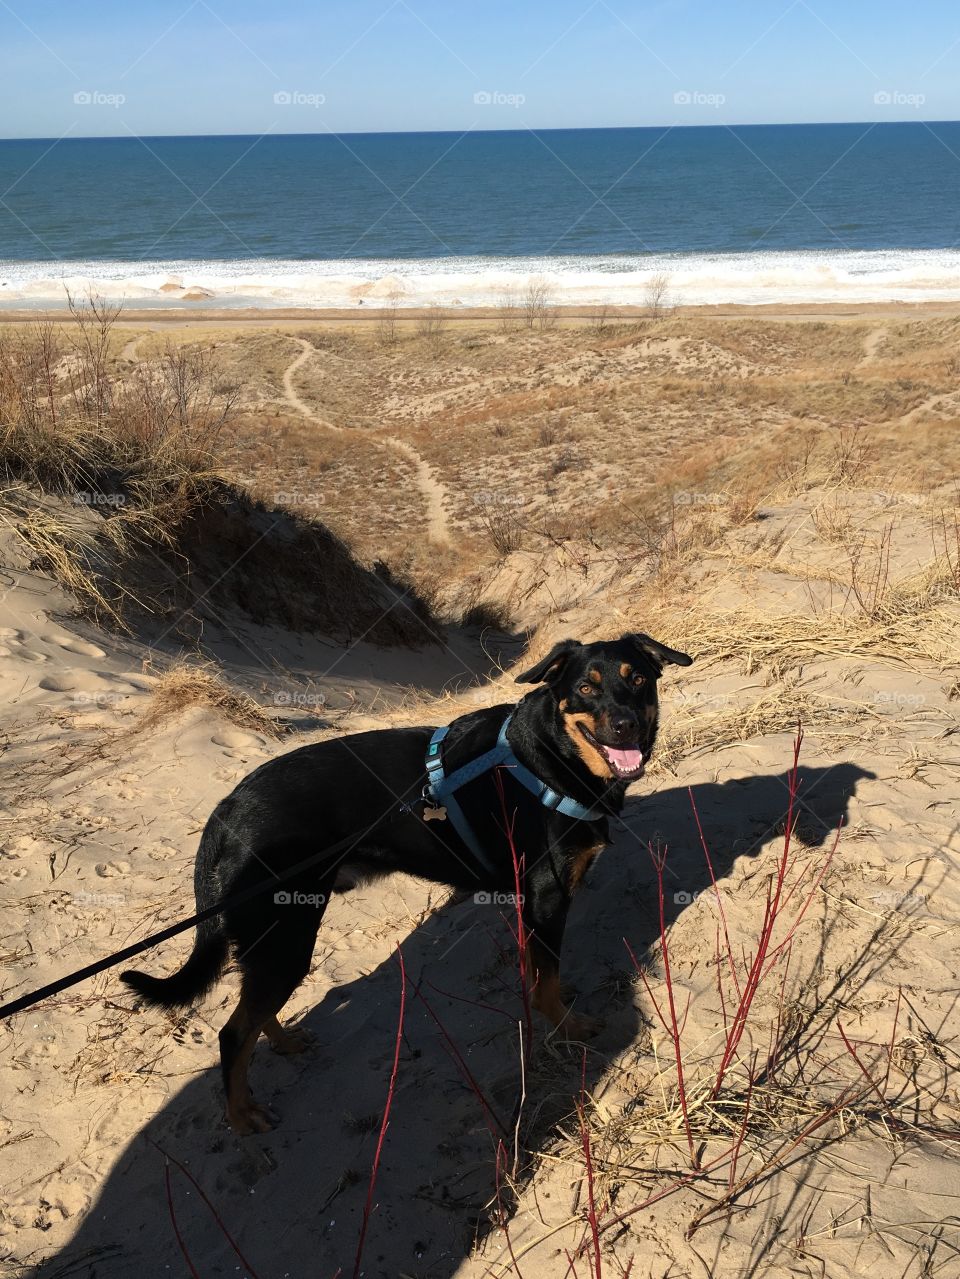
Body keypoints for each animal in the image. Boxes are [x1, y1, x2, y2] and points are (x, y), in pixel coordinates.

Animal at [122, 629, 690, 1130]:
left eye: (638, 679)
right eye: (587, 688)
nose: (625, 725)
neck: (550, 757)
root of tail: (224, 812)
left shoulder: (536, 905)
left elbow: (540, 967)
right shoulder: (547, 896)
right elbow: (544, 981)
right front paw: (568, 1026)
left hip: (278, 940)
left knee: (253, 1010)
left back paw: (283, 1043)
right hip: (287, 935)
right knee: (232, 1034)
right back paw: (242, 1116)